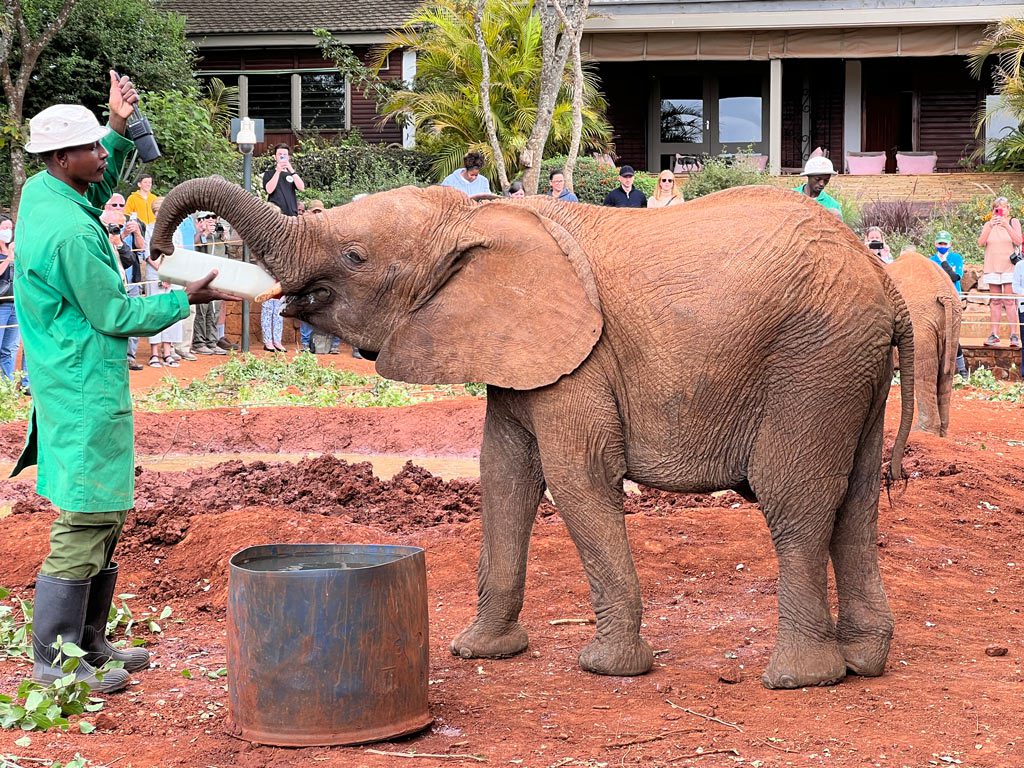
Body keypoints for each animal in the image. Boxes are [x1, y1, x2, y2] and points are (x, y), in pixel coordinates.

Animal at [884, 249, 962, 436]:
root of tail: (945, 294)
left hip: (920, 324)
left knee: (923, 371)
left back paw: (922, 432)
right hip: (954, 321)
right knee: (946, 373)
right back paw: (941, 433)